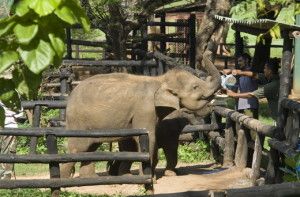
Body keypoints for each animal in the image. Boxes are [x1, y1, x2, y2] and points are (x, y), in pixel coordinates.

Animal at [60, 51, 220, 179]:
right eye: (195, 87)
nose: (208, 52)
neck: (160, 80)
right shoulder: (145, 108)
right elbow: (148, 137)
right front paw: (151, 178)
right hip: (78, 121)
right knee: (78, 148)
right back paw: (64, 180)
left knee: (90, 148)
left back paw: (93, 178)